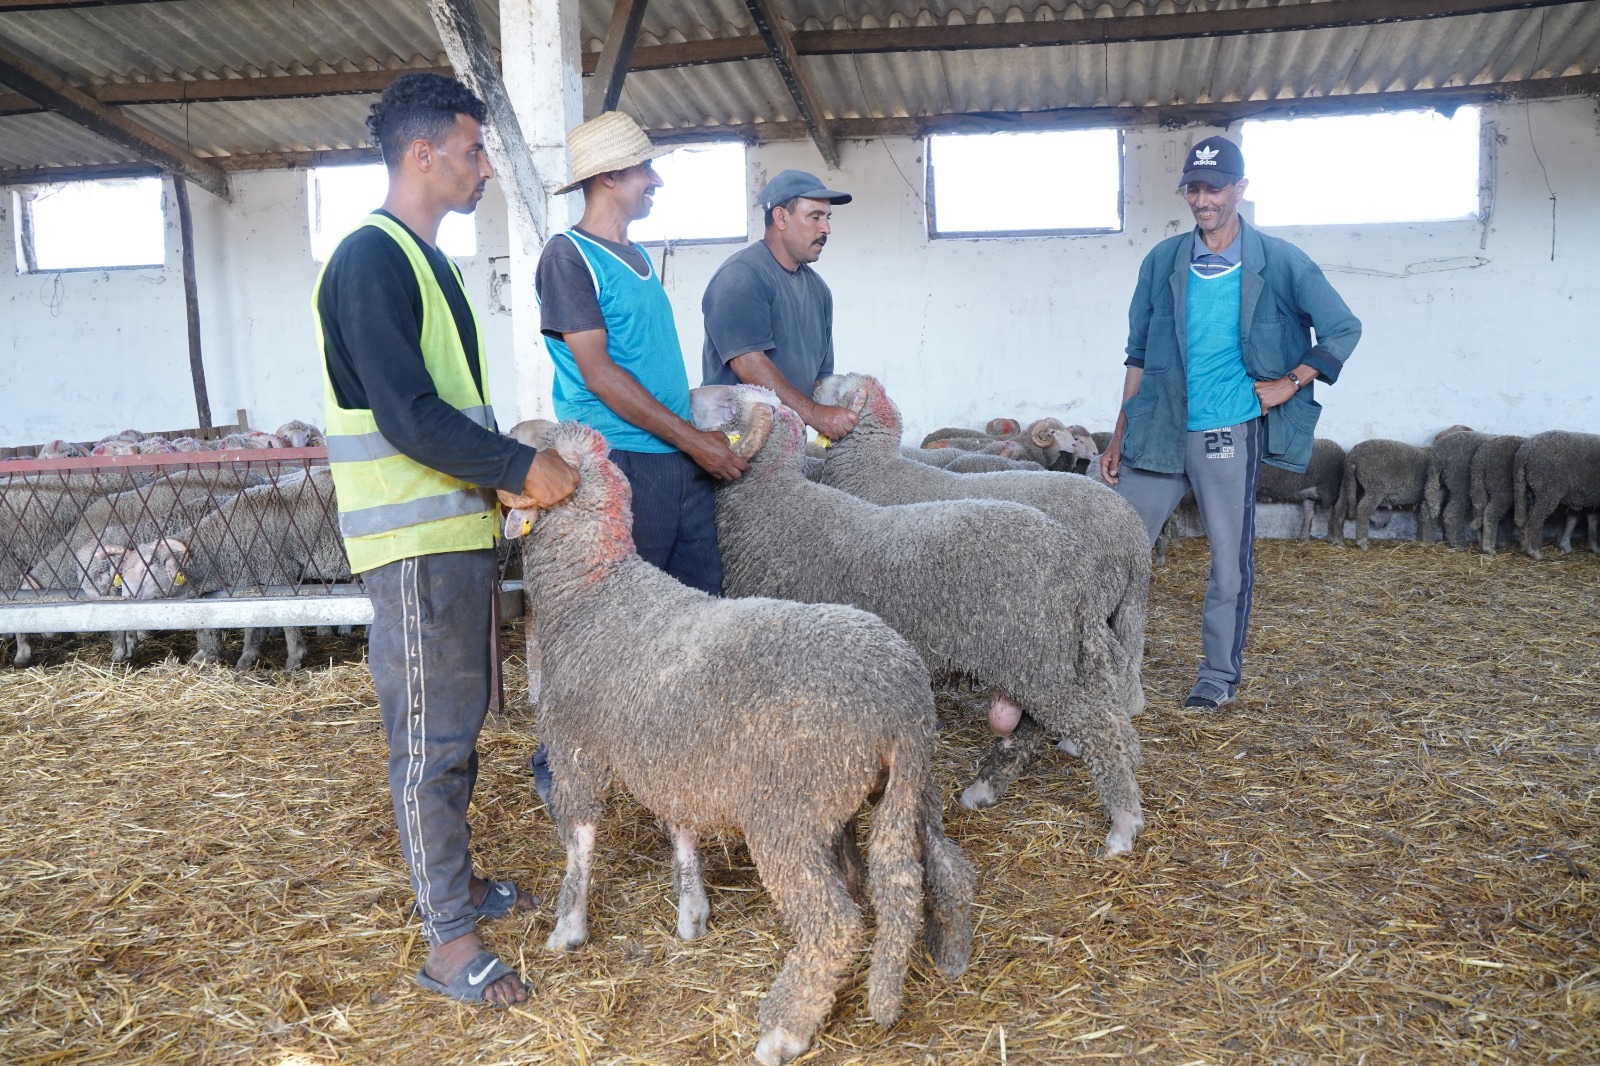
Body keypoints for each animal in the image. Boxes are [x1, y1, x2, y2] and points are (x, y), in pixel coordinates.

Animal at [499, 416, 972, 1062]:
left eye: (539, 444)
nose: (506, 434)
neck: (591, 593)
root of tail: (900, 697)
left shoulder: (576, 749)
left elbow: (580, 841)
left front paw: (569, 927)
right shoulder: (674, 761)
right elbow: (681, 833)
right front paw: (692, 913)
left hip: (787, 813)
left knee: (835, 922)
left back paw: (784, 1031)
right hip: (907, 788)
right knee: (929, 872)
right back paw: (936, 963)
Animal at [694, 385, 1145, 851]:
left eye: (731, 402)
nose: (692, 395)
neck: (772, 497)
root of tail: (1078, 569)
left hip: (1037, 657)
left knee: (1099, 728)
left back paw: (1123, 823)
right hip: (1045, 656)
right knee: (1049, 726)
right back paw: (985, 789)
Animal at [1510, 425, 1600, 557]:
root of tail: (1525, 450)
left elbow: (1592, 518)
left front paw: (1593, 547)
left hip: (1530, 488)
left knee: (1526, 516)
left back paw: (1526, 546)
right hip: (1548, 490)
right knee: (1536, 517)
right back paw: (1534, 551)